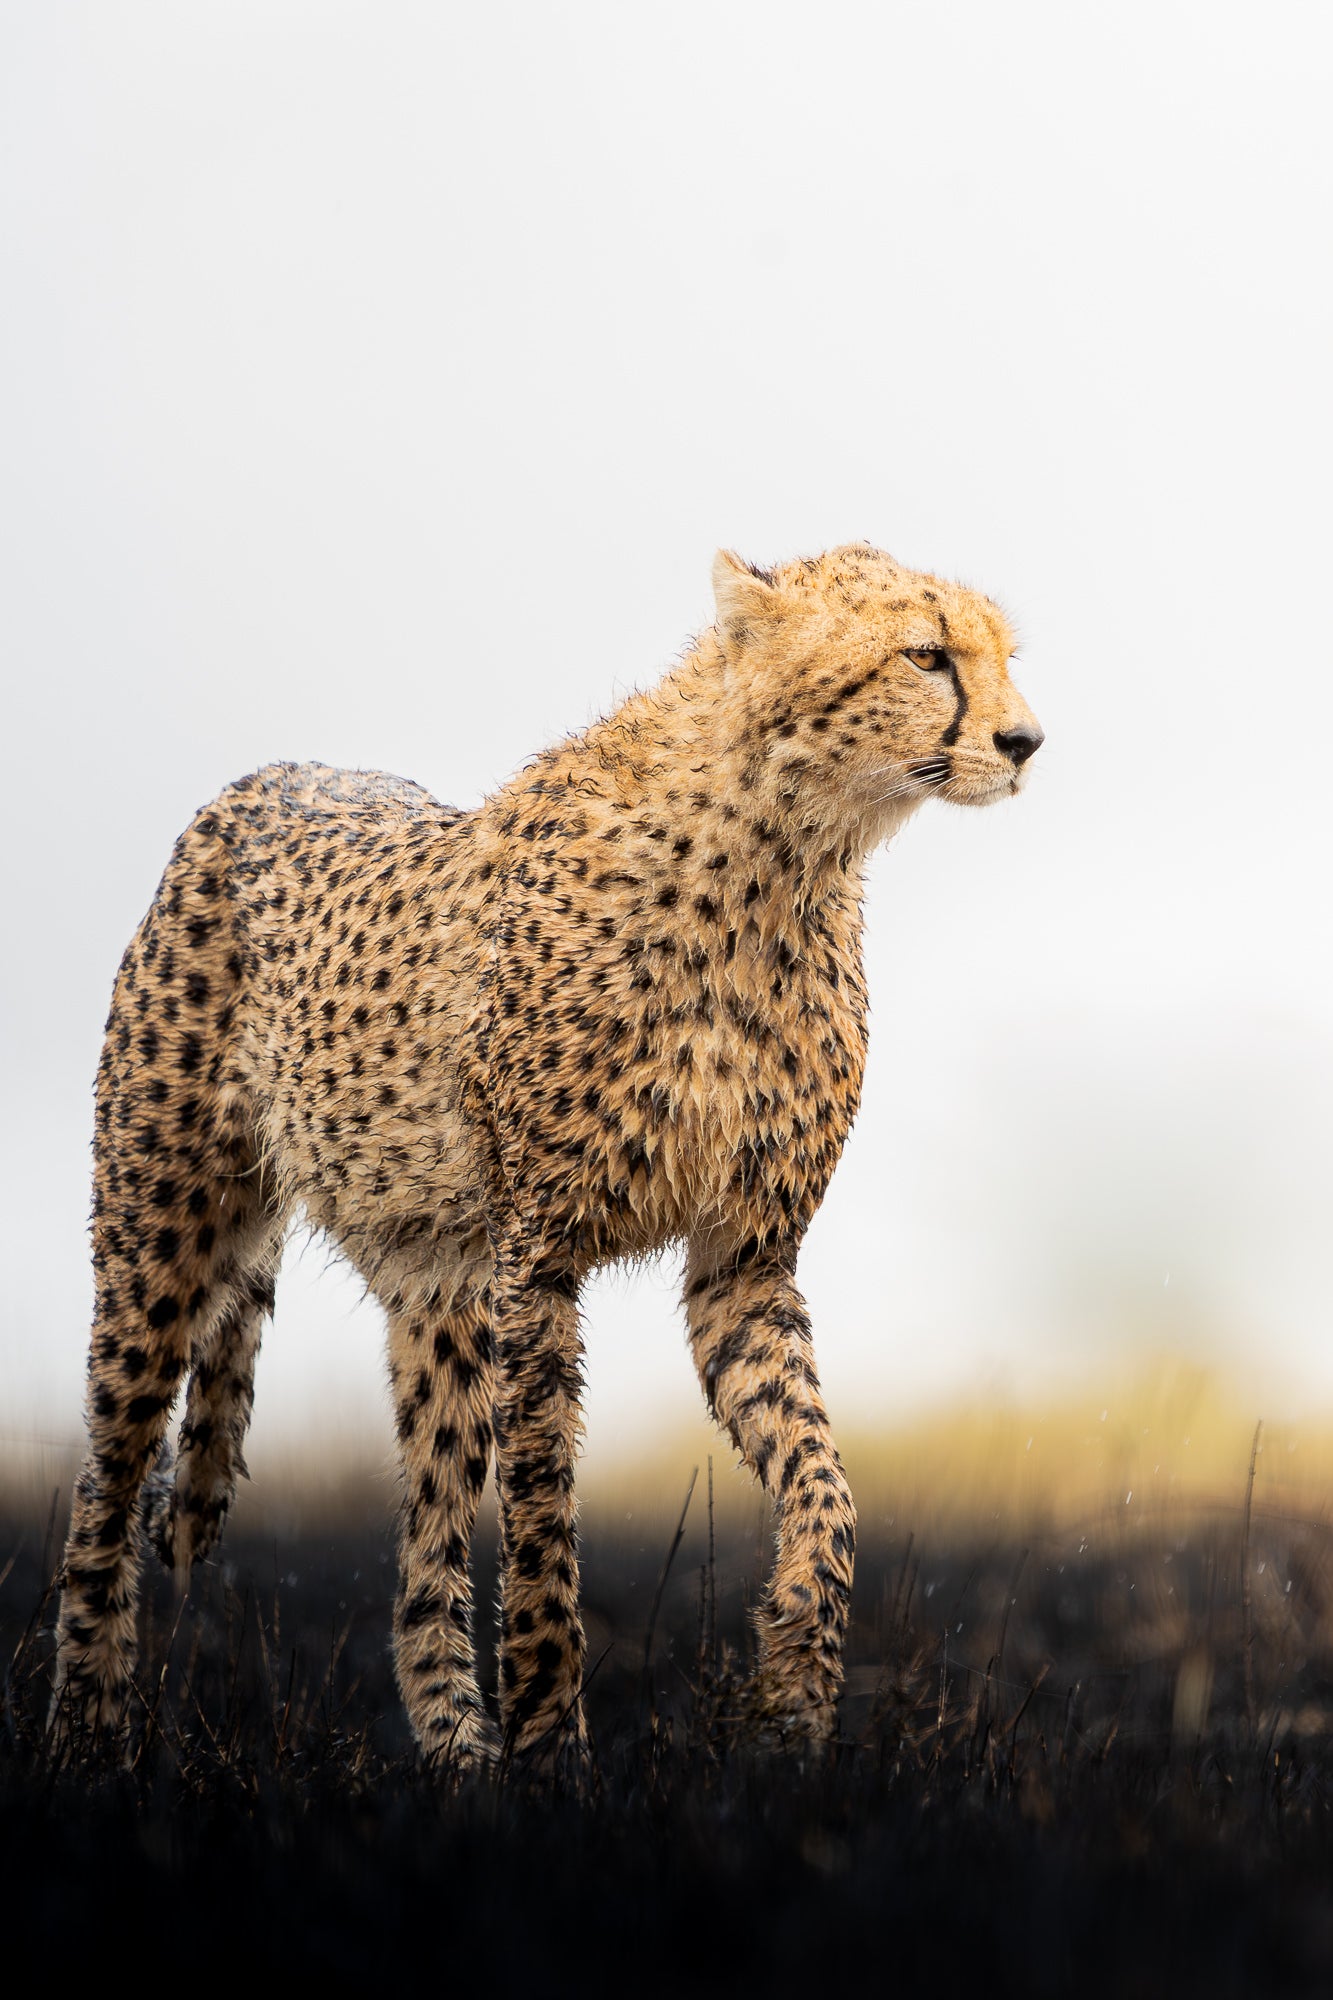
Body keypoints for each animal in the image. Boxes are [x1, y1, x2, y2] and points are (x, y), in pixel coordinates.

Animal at [51, 542, 1042, 1770]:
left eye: (1004, 653)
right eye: (925, 654)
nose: (1025, 739)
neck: (783, 853)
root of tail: (267, 775)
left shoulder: (741, 1262)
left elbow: (825, 1487)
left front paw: (793, 1693)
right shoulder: (539, 1252)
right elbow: (540, 1517)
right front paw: (553, 1750)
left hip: (437, 1295)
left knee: (422, 1562)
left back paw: (457, 1763)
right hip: (157, 1249)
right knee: (104, 1495)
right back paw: (81, 1742)